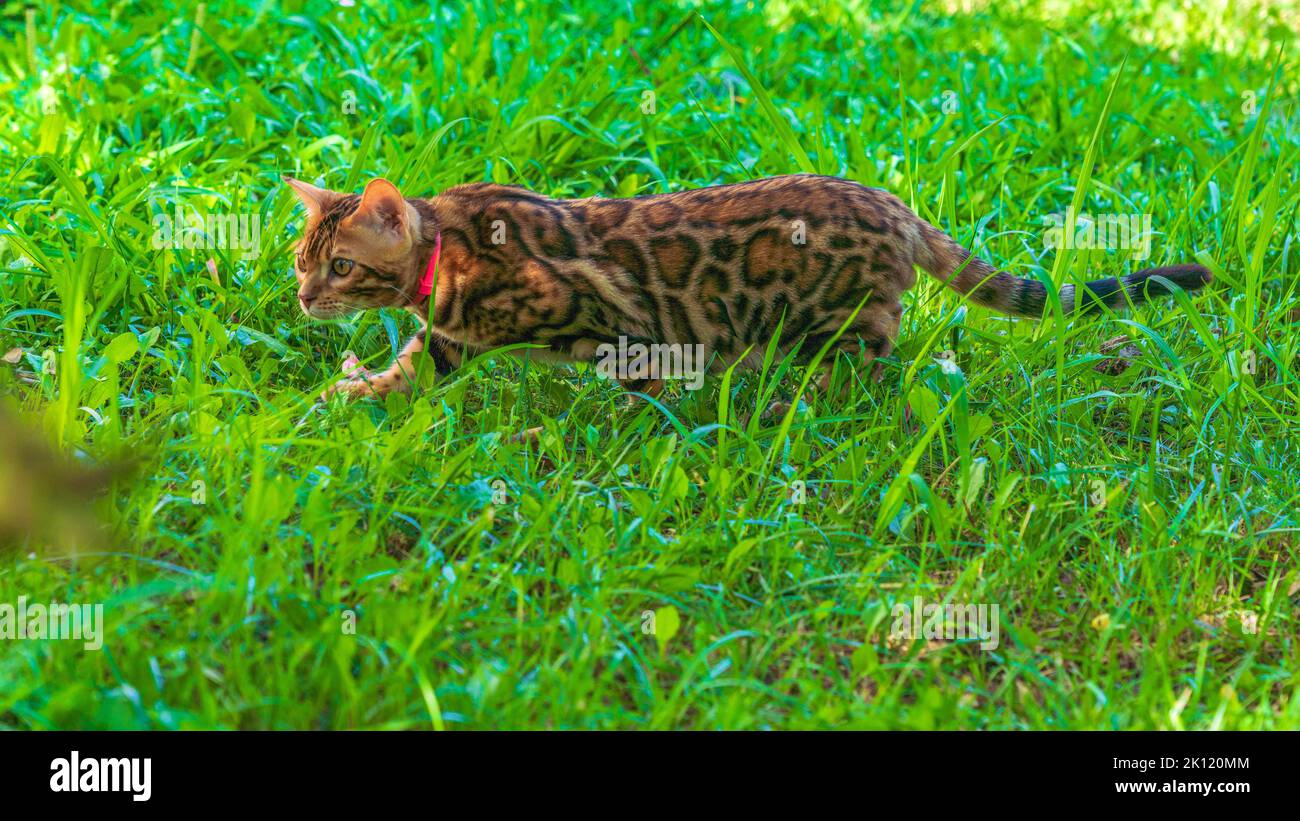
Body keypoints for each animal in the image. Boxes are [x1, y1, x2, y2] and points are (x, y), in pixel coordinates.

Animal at [282, 174, 1206, 405]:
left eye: (340, 266)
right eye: (299, 259)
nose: (301, 299)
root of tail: (894, 204)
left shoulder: (607, 317)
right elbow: (411, 363)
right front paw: (349, 390)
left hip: (833, 317)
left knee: (873, 361)